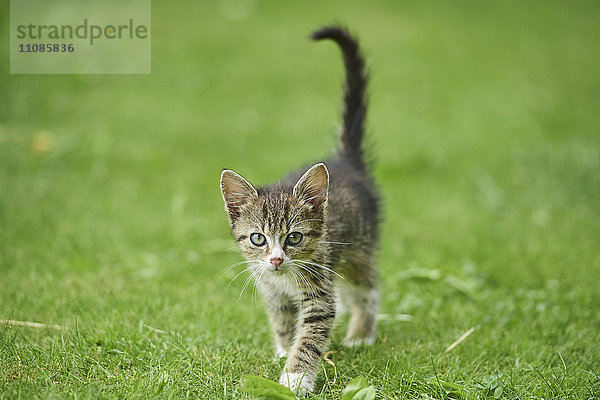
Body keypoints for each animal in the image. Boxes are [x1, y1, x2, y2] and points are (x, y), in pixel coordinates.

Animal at [219, 26, 380, 396]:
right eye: (257, 239)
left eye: (293, 238)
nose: (277, 260)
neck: (285, 278)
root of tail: (346, 163)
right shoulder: (271, 288)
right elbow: (282, 318)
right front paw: (283, 348)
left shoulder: (319, 292)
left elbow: (311, 336)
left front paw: (295, 377)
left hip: (359, 250)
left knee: (367, 289)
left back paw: (361, 334)